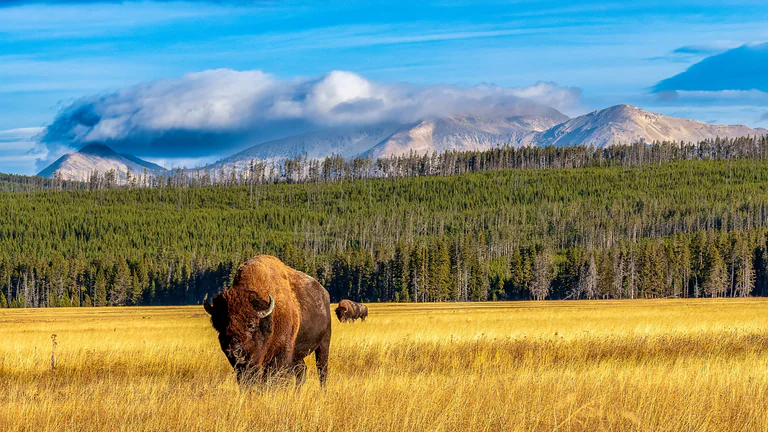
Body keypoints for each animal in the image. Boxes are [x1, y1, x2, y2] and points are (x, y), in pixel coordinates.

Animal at [204, 255, 331, 387]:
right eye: (220, 326)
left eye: (251, 325)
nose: (234, 351)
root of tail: (324, 293)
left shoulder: (280, 354)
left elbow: (272, 378)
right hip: (297, 353)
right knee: (301, 371)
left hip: (324, 342)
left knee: (321, 369)